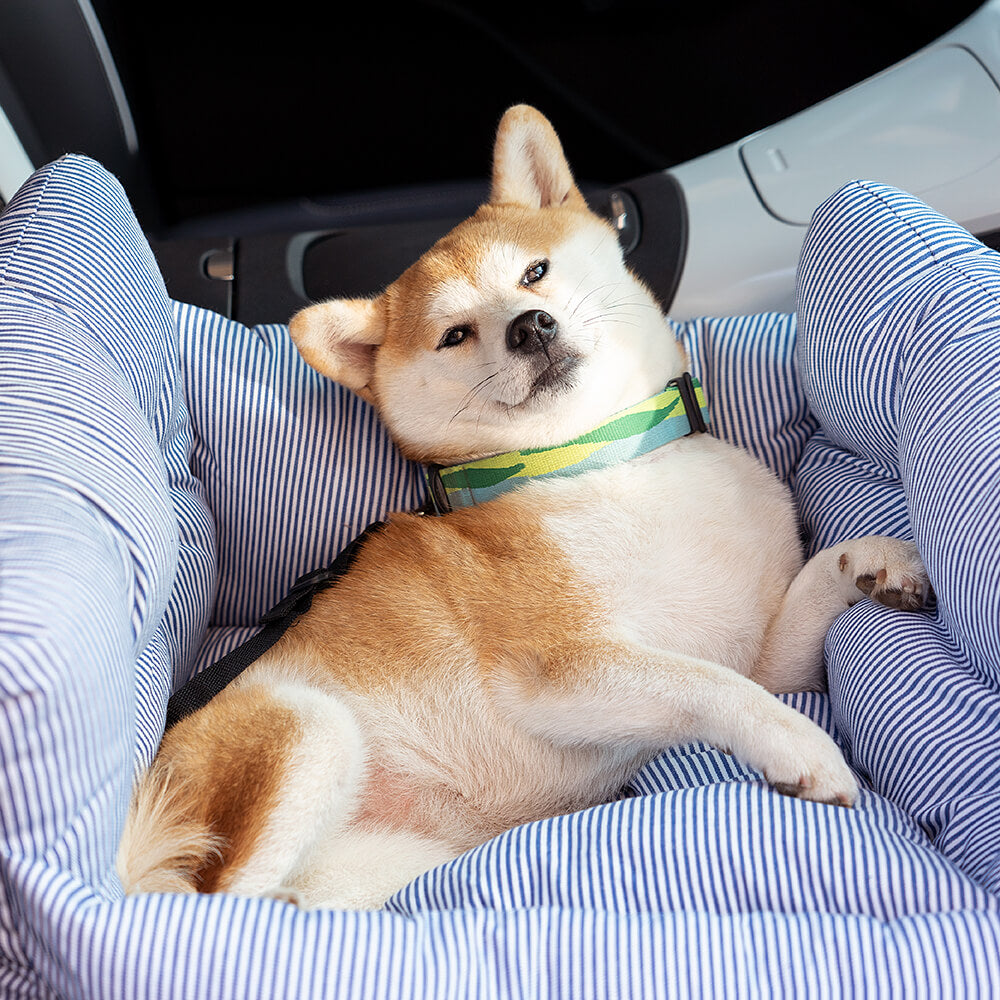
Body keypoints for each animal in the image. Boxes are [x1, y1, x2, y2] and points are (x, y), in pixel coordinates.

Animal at [117, 105, 928, 912]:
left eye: (534, 272)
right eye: (454, 334)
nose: (529, 325)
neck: (608, 456)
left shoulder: (762, 654)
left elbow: (792, 618)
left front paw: (872, 563)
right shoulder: (560, 669)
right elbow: (713, 686)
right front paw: (798, 743)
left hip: (385, 863)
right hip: (309, 732)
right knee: (207, 908)